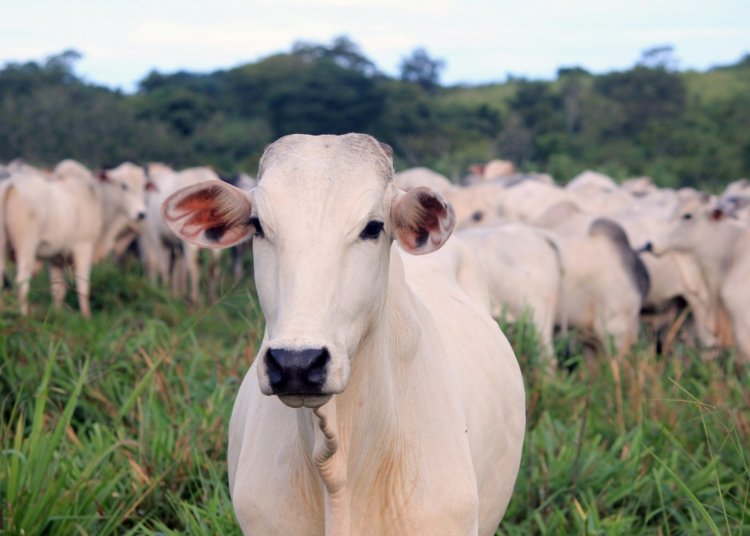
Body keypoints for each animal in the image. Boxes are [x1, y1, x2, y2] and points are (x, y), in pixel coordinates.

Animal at [0, 160, 148, 317]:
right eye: (124, 185)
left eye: (143, 186)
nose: (141, 214)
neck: (97, 199)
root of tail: (10, 184)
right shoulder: (84, 247)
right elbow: (83, 285)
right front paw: (86, 316)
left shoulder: (55, 258)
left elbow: (58, 289)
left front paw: (57, 314)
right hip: (26, 245)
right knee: (22, 281)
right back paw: (24, 315)